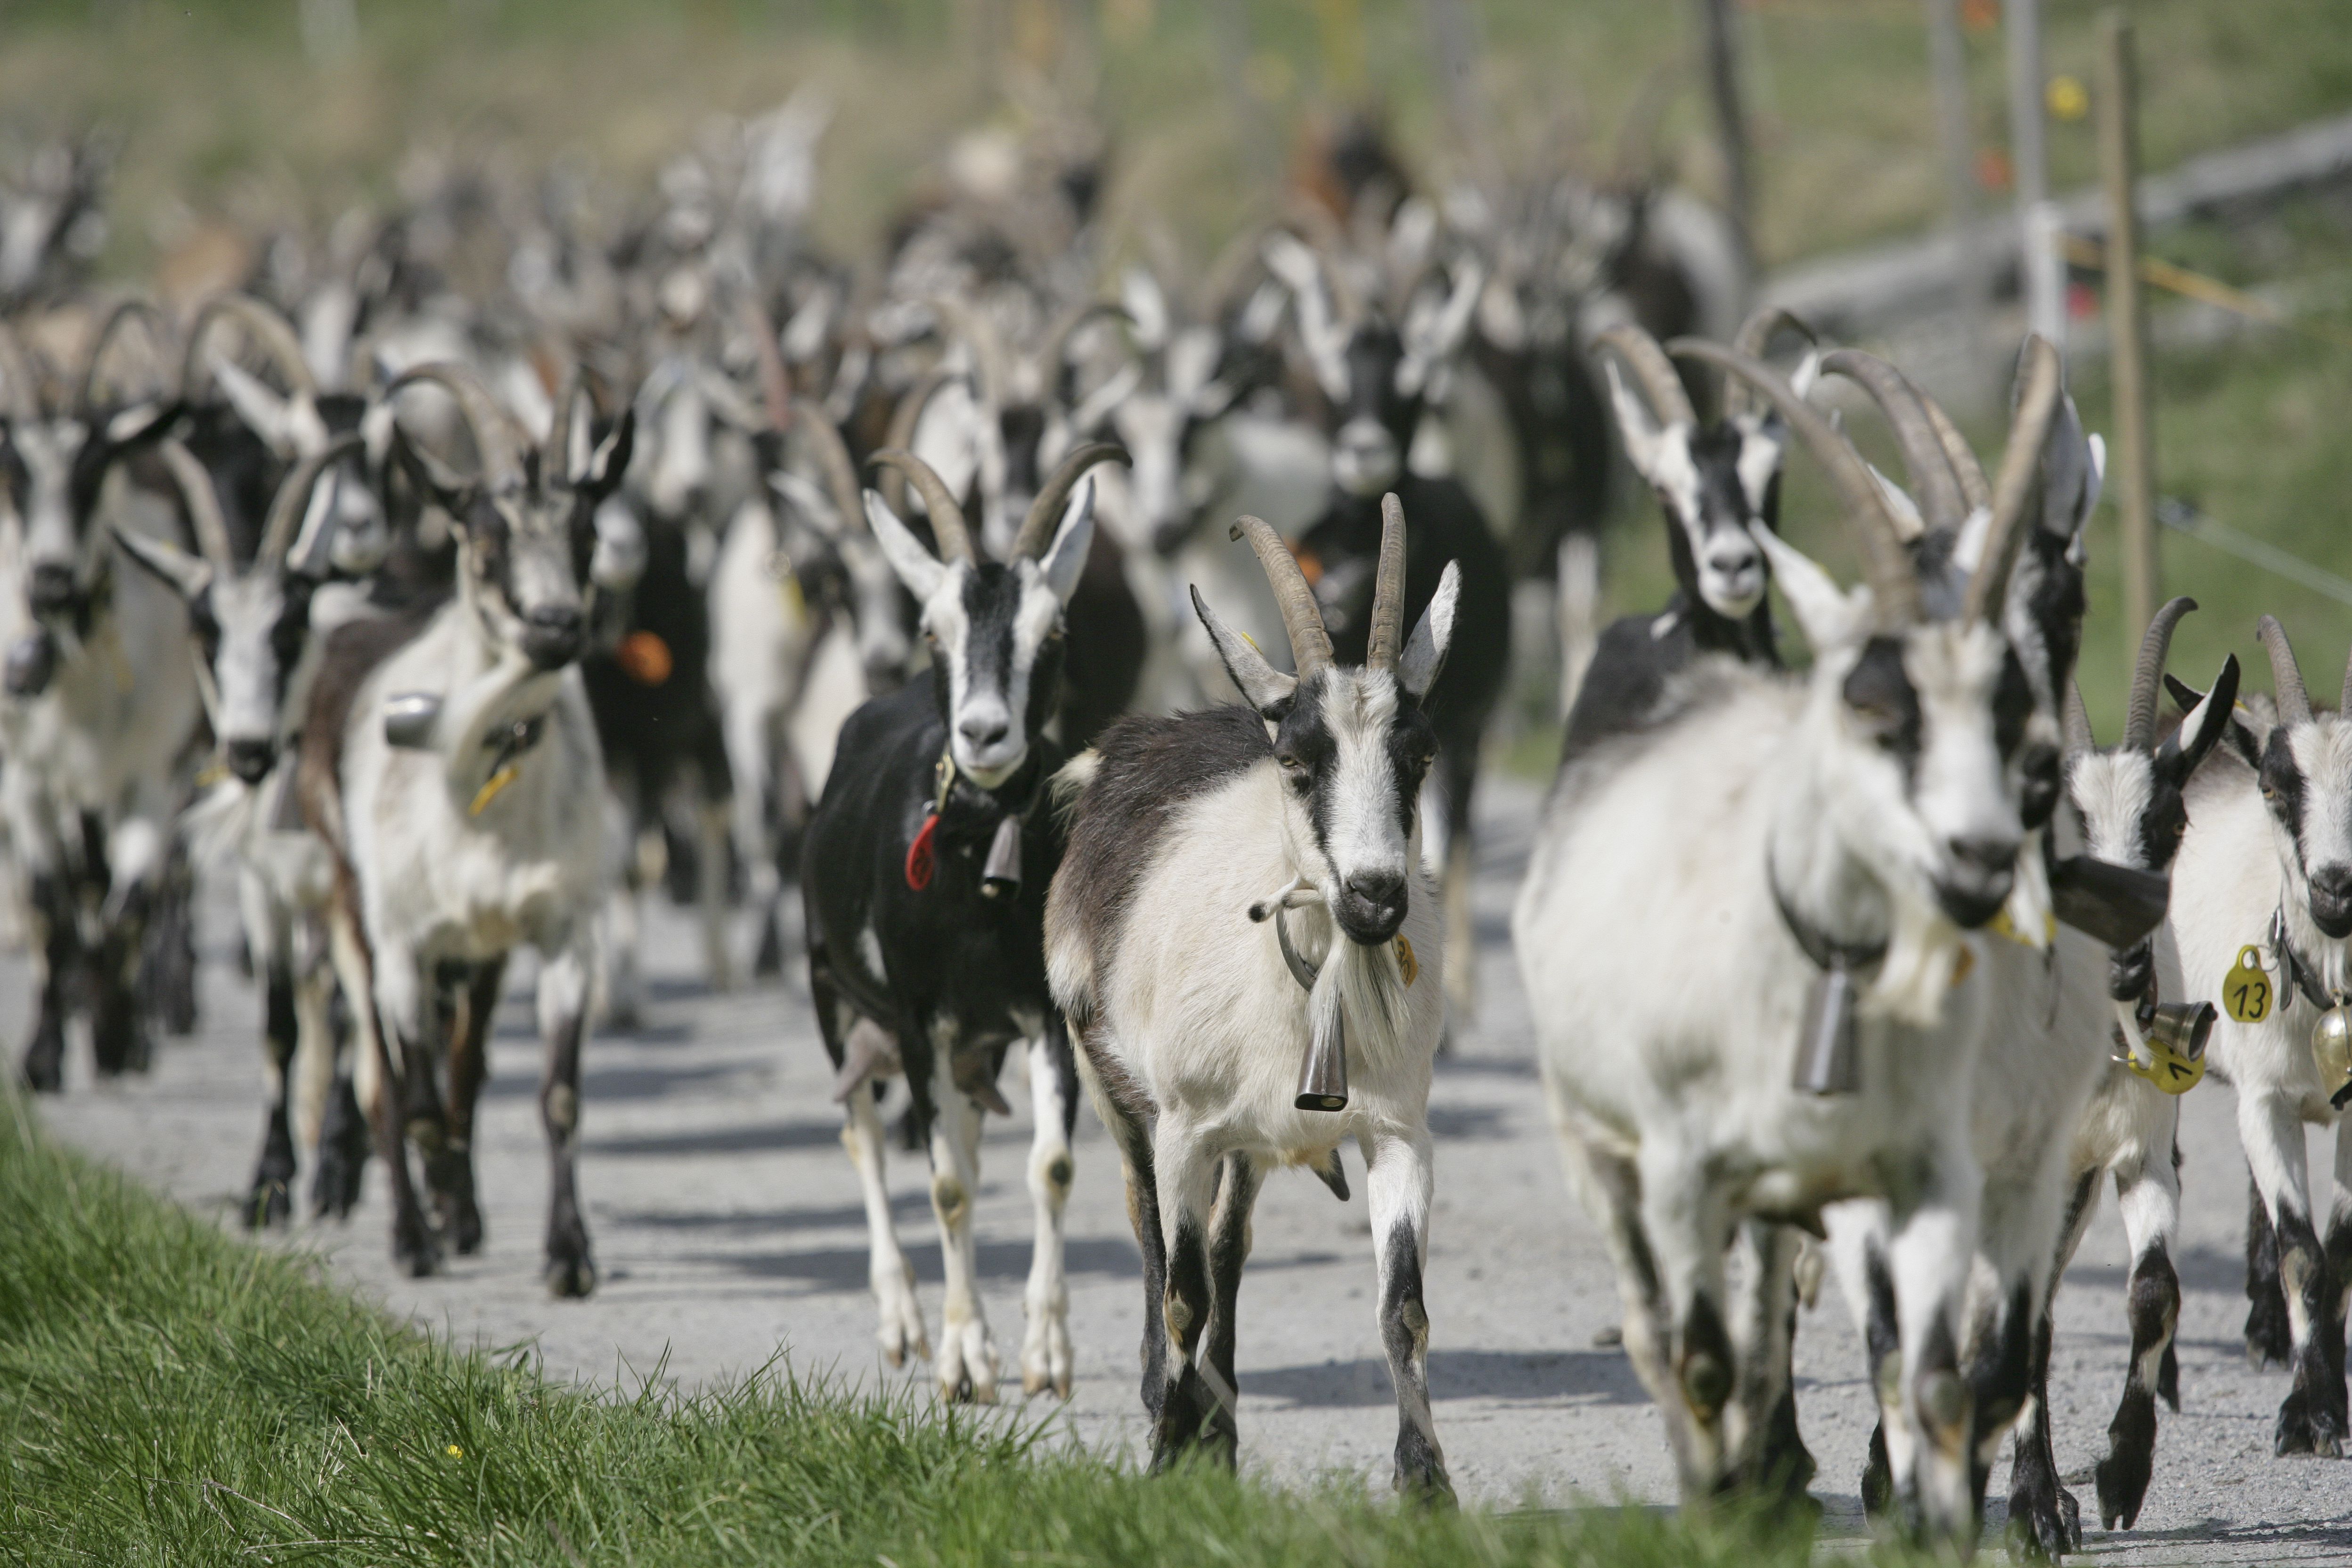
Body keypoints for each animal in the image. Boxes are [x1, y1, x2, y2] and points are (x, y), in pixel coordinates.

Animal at [298, 364, 630, 1288]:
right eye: (487, 538)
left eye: (586, 533)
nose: (556, 625)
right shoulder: (404, 940)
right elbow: (410, 1101)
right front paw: (436, 1204)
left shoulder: (563, 930)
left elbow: (557, 1096)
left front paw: (570, 1256)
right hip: (354, 908)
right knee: (384, 1082)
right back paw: (418, 1231)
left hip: (479, 951)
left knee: (468, 1065)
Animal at [800, 440, 1119, 1401]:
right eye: (933, 629)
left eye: (1052, 633)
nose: (983, 734)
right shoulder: (916, 1019)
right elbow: (941, 1188)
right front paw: (962, 1360)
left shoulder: (1046, 1014)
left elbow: (1048, 1166)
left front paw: (1044, 1354)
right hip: (839, 1002)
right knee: (866, 1140)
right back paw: (904, 1322)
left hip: (975, 1045)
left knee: (971, 1148)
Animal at [1049, 500, 1449, 1495]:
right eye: (1297, 758)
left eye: (1419, 752)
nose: (1375, 894)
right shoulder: (1184, 1125)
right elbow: (1181, 1293)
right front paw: (1163, 1455)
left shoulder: (1398, 1129)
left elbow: (1403, 1306)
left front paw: (1426, 1480)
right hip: (1112, 1079)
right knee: (1151, 1228)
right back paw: (1167, 1401)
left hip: (1251, 1138)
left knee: (1230, 1246)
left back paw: (1217, 1427)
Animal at [1505, 338, 2060, 1552]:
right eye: (1667, 482)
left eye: (1767, 478)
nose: (1986, 852)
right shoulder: (1677, 1156)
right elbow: (1702, 1350)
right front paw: (1729, 1495)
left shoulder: (1912, 1162)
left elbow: (1924, 1371)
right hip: (1604, 1140)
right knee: (1659, 1319)